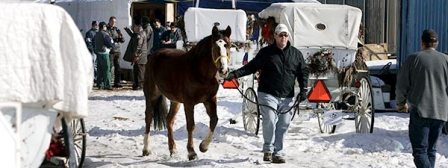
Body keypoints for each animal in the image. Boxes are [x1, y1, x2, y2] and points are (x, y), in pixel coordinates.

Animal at [143, 25, 231, 159]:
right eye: (215, 46)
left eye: (228, 45)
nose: (223, 70)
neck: (200, 72)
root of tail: (154, 55)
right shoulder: (189, 103)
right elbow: (191, 125)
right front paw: (191, 152)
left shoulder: (210, 99)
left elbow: (214, 120)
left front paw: (203, 146)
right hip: (151, 95)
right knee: (148, 117)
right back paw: (146, 149)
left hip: (175, 101)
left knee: (169, 120)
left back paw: (173, 149)